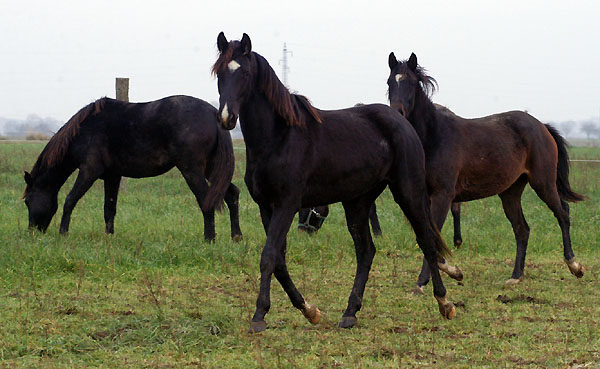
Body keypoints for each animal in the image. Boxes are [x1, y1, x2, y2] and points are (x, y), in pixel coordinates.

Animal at [22, 93, 244, 240]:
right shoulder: (112, 176)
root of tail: (215, 115)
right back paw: (236, 237)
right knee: (231, 195)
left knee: (206, 200)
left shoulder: (88, 171)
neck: (86, 129)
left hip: (193, 170)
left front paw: (63, 232)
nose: (32, 231)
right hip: (212, 169)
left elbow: (70, 200)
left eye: (28, 201)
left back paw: (210, 238)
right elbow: (109, 208)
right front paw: (109, 237)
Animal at [213, 33, 462, 332]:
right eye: (219, 72)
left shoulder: (286, 205)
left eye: (246, 74)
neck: (278, 138)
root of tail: (402, 121)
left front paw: (259, 315)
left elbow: (269, 256)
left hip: (407, 192)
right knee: (366, 251)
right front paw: (309, 310)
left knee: (425, 239)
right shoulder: (266, 207)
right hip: (357, 201)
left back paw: (444, 303)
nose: (227, 118)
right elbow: (279, 261)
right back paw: (350, 312)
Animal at [386, 51, 584, 290]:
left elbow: (433, 236)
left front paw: (427, 281)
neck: (433, 137)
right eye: (389, 82)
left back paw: (574, 265)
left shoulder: (443, 195)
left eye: (412, 83)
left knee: (562, 213)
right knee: (522, 229)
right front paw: (451, 272)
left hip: (543, 182)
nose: (397, 114)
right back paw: (516, 275)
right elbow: (428, 236)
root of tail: (541, 126)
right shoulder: (423, 197)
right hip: (510, 192)